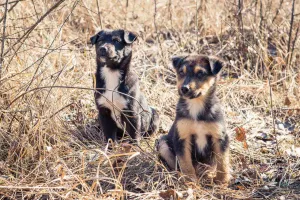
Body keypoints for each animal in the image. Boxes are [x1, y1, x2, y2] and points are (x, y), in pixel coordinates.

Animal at [157, 54, 230, 184]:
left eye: (200, 73)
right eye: (181, 72)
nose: (184, 88)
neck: (196, 104)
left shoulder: (220, 137)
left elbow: (222, 161)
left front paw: (222, 180)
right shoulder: (182, 137)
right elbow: (185, 162)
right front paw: (190, 180)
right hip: (162, 144)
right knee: (175, 164)